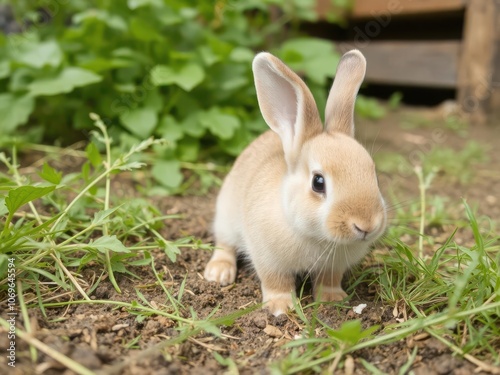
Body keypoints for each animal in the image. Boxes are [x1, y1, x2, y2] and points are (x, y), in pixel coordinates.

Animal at [203, 48, 386, 316]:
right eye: (318, 182)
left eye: (374, 175)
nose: (366, 225)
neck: (315, 235)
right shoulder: (268, 259)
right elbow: (276, 281)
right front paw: (281, 307)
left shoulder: (333, 267)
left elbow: (329, 280)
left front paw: (333, 299)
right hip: (225, 218)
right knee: (224, 245)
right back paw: (218, 273)